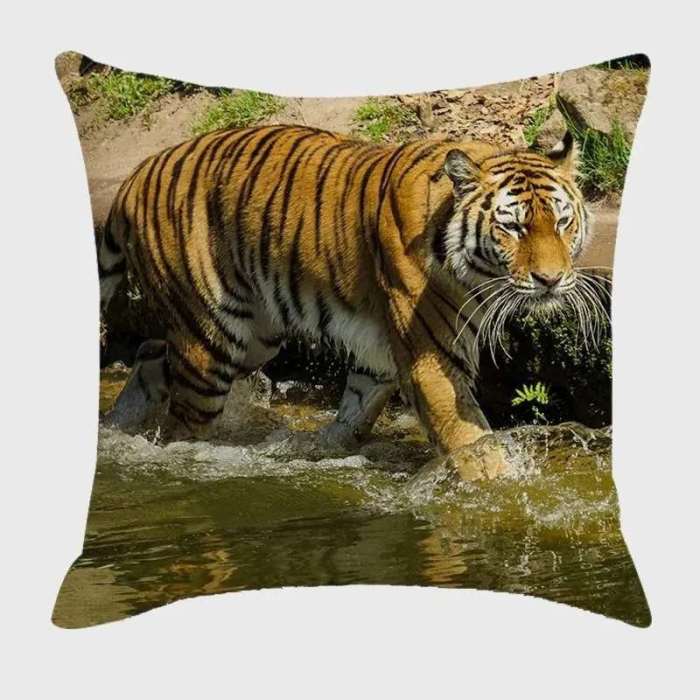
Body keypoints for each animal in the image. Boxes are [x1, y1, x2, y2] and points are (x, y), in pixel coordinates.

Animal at [98, 123, 591, 477]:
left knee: (150, 352)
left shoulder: (382, 355)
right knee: (181, 420)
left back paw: (118, 424)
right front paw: (501, 493)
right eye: (513, 227)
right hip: (212, 341)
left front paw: (323, 449)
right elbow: (470, 440)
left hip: (255, 335)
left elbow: (356, 408)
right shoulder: (432, 359)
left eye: (562, 222)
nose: (551, 279)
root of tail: (136, 176)